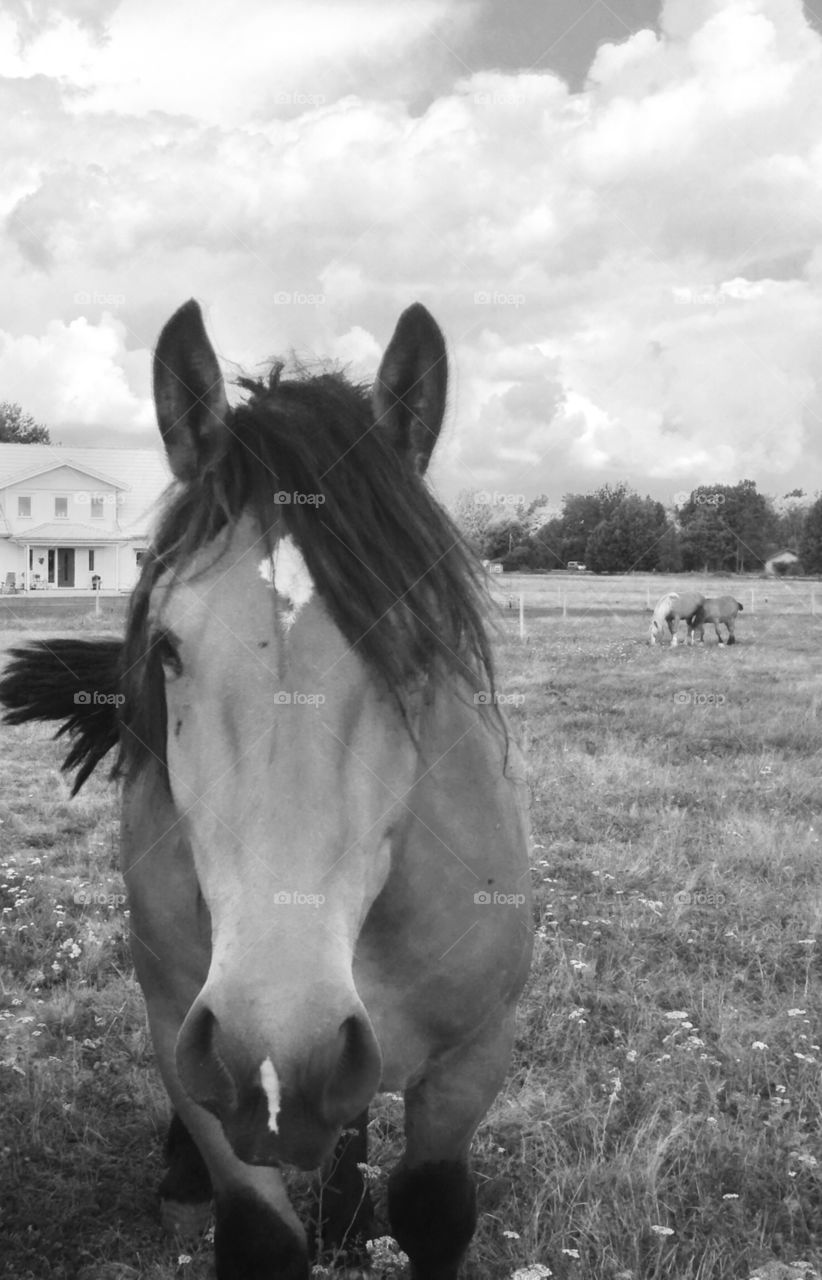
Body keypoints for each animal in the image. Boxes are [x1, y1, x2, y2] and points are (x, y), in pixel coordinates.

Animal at [0, 300, 533, 1280]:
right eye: (168, 648)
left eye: (421, 645)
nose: (279, 1048)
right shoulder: (198, 1047)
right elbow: (257, 1231)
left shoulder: (473, 1060)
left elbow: (434, 1209)